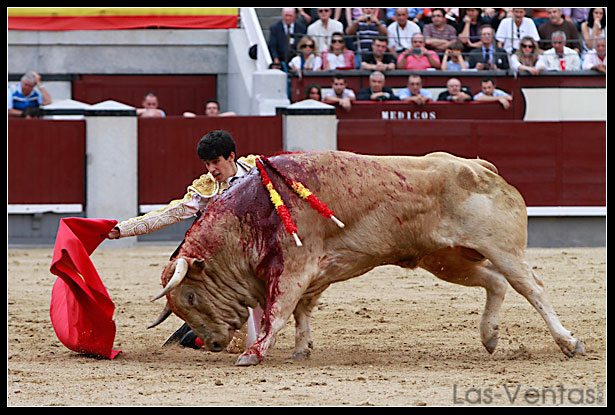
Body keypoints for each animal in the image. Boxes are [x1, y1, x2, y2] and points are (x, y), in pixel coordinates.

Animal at [150, 150, 584, 366]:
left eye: (190, 296)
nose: (214, 343)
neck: (251, 213)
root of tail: (481, 166)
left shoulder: (294, 267)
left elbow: (279, 310)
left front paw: (252, 354)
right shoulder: (314, 272)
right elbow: (302, 310)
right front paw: (301, 350)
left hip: (503, 248)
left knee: (531, 287)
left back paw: (569, 343)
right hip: (445, 259)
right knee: (494, 281)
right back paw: (490, 337)